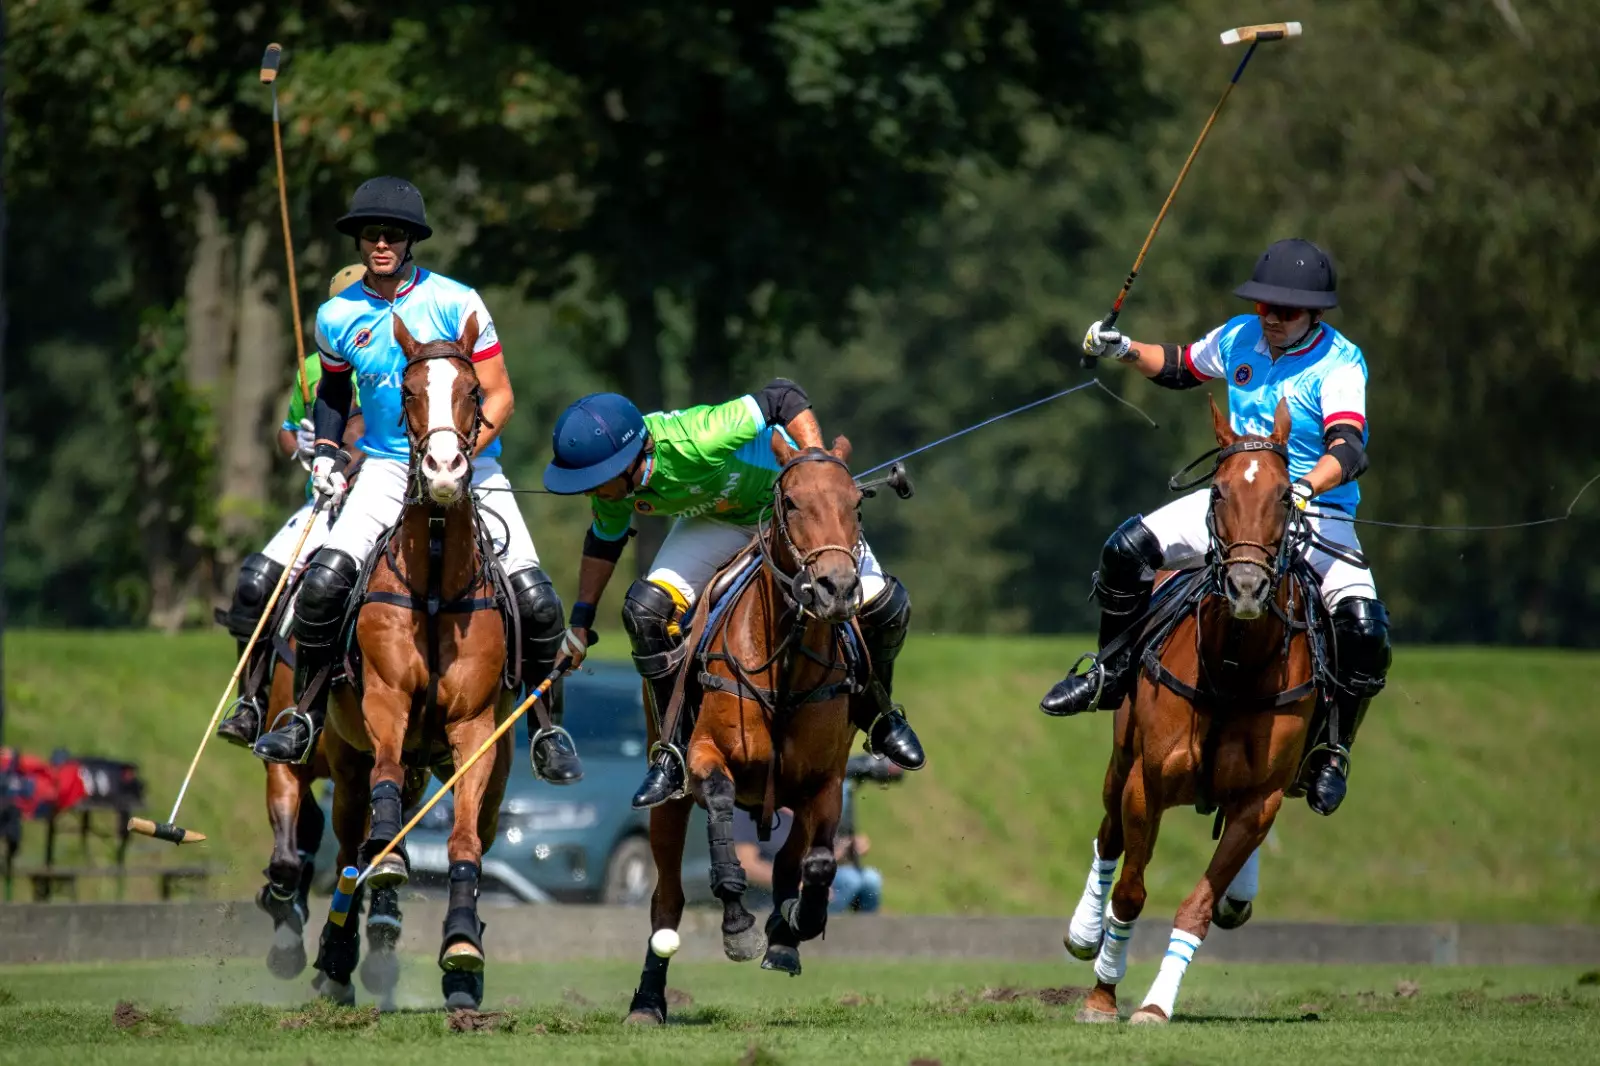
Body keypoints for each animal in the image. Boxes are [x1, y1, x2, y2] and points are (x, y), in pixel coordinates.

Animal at [310, 312, 512, 1011]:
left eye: (473, 391)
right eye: (409, 390)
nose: (445, 469)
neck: (431, 579)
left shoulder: (477, 729)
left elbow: (465, 842)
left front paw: (463, 951)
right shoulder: (386, 700)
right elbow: (387, 780)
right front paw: (392, 856)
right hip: (343, 760)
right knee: (349, 845)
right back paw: (335, 956)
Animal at [624, 432, 876, 1024]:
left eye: (856, 504)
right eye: (792, 503)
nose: (837, 589)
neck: (785, 668)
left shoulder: (826, 781)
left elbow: (821, 862)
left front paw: (795, 924)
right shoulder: (704, 755)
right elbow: (717, 800)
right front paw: (739, 924)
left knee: (789, 859)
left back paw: (785, 934)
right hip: (667, 799)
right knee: (666, 898)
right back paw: (648, 1000)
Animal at [1068, 398, 1331, 1024]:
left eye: (1285, 496)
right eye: (1218, 491)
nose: (1246, 586)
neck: (1233, 664)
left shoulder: (1258, 801)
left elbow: (1199, 906)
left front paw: (1155, 1005)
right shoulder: (1148, 781)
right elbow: (1130, 892)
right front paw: (1102, 994)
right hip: (1121, 757)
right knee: (1108, 837)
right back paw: (1084, 932)